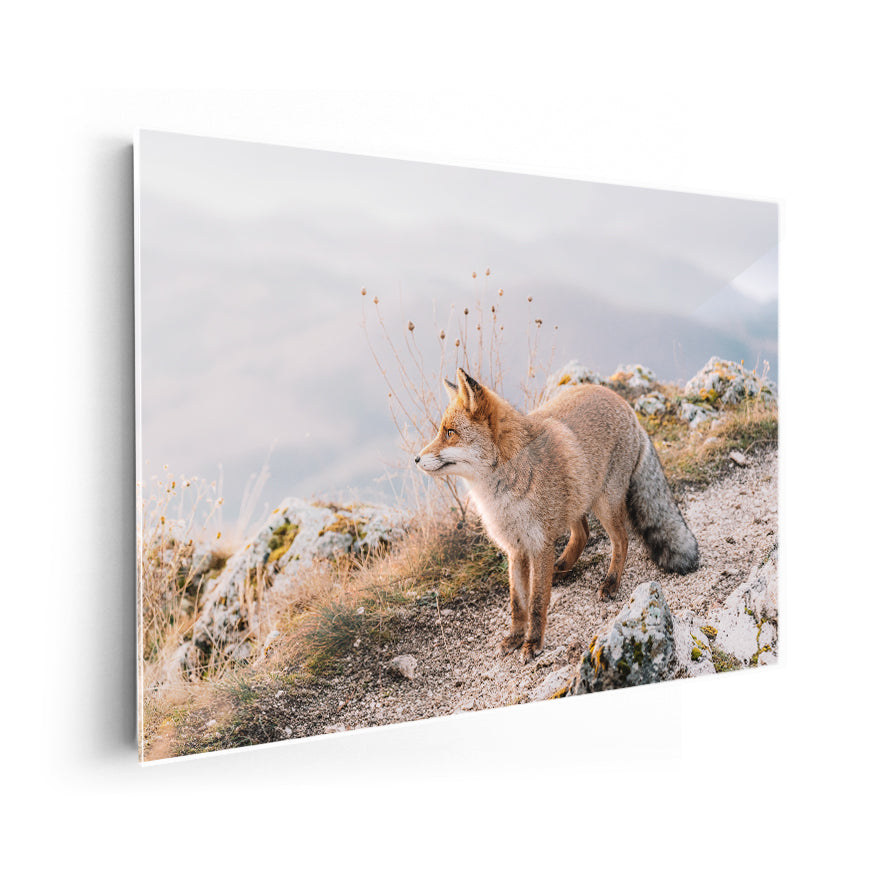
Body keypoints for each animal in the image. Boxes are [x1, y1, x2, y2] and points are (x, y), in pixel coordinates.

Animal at [416, 368, 699, 663]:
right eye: (442, 432)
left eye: (450, 433)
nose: (416, 459)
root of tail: (625, 404)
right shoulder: (516, 549)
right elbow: (518, 603)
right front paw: (515, 637)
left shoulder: (539, 545)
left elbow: (537, 602)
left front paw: (533, 643)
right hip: (576, 498)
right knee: (583, 533)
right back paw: (561, 568)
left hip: (605, 504)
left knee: (621, 540)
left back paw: (610, 582)